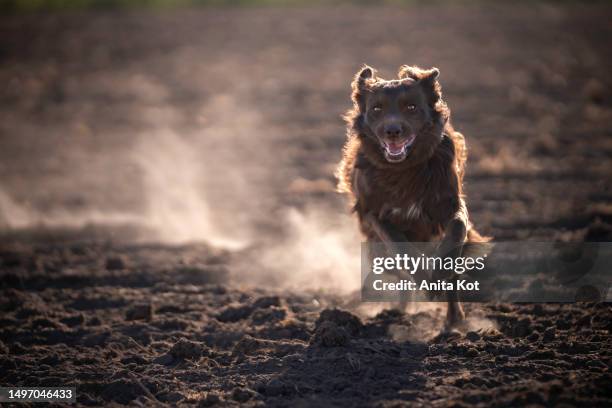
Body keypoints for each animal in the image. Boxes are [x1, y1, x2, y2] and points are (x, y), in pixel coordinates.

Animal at [338, 65, 490, 330]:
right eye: (376, 109)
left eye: (411, 107)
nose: (392, 131)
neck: (404, 168)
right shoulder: (375, 214)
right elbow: (400, 244)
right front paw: (423, 277)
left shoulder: (450, 203)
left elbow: (457, 229)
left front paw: (439, 273)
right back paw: (399, 312)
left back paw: (454, 321)